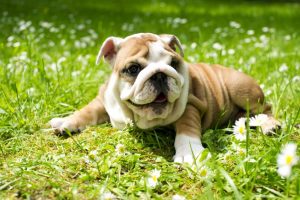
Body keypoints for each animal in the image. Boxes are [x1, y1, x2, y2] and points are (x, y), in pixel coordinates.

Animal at [49, 32, 282, 164]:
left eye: (173, 64)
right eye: (133, 69)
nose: (160, 74)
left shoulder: (190, 105)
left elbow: (187, 129)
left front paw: (190, 154)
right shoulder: (103, 100)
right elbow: (86, 111)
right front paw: (66, 121)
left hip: (241, 89)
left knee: (266, 108)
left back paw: (270, 125)